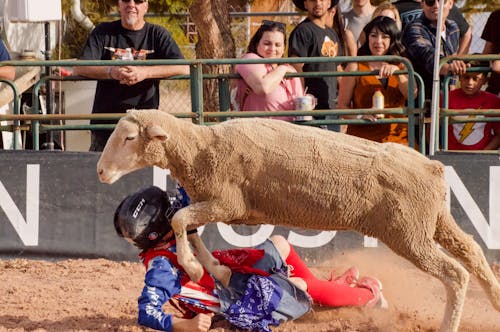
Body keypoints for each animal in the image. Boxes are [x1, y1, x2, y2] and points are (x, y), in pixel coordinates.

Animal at [97, 109, 500, 332]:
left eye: (129, 137)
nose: (100, 171)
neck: (200, 149)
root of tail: (433, 167)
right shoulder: (214, 203)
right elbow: (189, 227)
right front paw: (215, 269)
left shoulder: (226, 202)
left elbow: (181, 220)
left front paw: (197, 268)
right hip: (433, 223)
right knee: (474, 252)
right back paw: (495, 301)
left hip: (409, 234)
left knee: (455, 273)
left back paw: (448, 324)